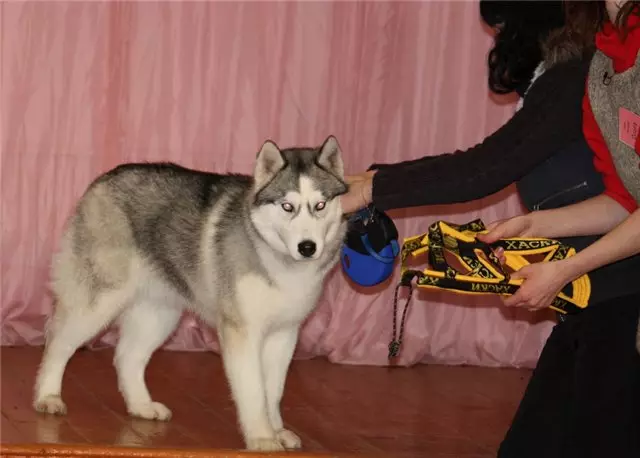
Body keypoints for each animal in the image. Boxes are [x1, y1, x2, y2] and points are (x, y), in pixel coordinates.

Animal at [32, 136, 348, 450]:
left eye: (320, 205)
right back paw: (48, 396)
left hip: (159, 314)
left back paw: (141, 406)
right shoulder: (241, 332)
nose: (307, 247)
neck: (278, 261)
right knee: (58, 342)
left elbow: (274, 391)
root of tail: (106, 177)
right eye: (287, 206)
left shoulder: (284, 333)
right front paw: (262, 438)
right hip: (98, 301)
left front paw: (278, 431)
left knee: (126, 357)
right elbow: (254, 391)